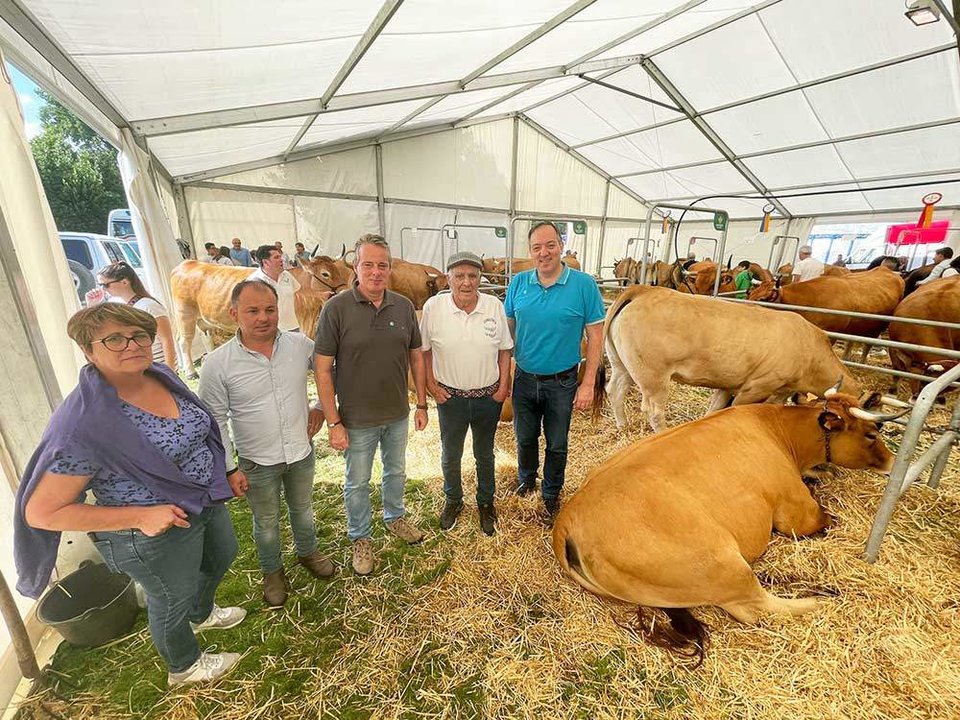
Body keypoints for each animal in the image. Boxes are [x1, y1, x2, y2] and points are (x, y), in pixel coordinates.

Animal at [556, 388, 900, 664]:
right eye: (872, 433)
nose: (893, 463)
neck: (779, 429)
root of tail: (567, 520)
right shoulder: (796, 511)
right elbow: (824, 517)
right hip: (722, 563)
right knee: (756, 607)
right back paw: (819, 597)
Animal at [600, 286, 864, 434]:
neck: (810, 353)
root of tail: (646, 289)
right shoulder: (757, 386)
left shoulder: (734, 385)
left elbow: (714, 411)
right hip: (654, 377)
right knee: (654, 411)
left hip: (622, 364)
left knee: (615, 390)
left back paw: (623, 426)